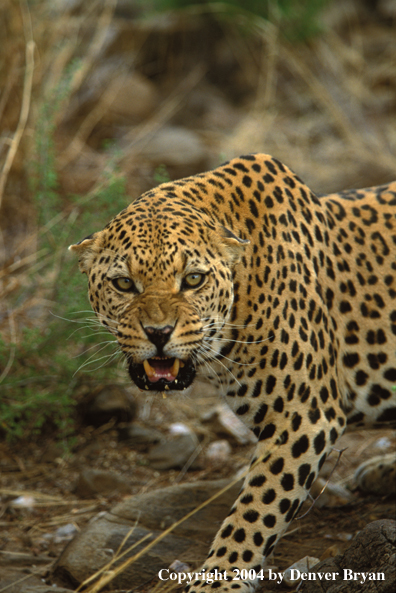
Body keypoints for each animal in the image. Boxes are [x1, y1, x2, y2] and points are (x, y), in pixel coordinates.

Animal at [70, 155, 396, 588]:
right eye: (123, 284)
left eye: (193, 279)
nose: (158, 333)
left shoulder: (304, 415)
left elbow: (257, 506)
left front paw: (219, 579)